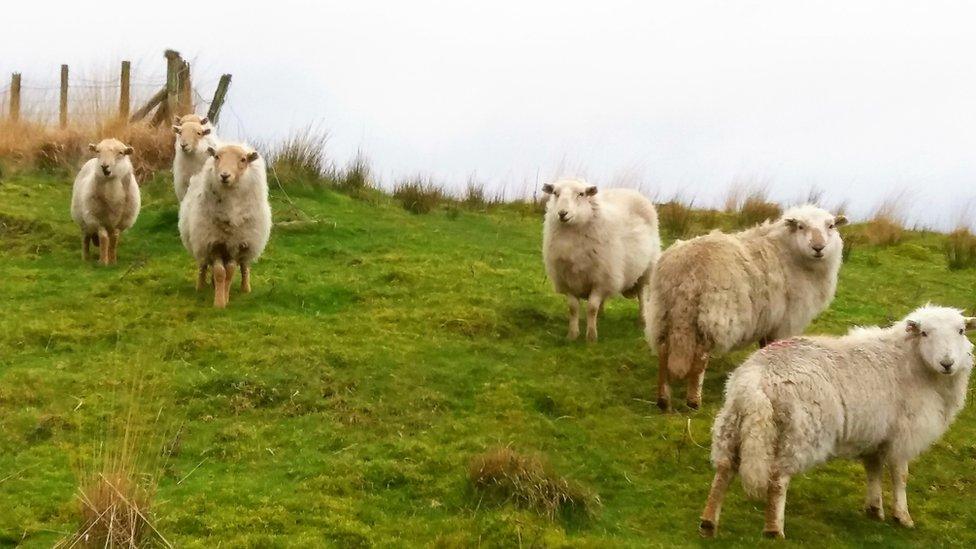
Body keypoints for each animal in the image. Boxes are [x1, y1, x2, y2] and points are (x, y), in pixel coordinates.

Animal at [178, 142, 270, 308]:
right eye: (217, 156)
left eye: (243, 159)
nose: (224, 175)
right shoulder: (213, 243)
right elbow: (220, 272)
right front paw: (219, 302)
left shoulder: (237, 245)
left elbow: (230, 272)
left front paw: (225, 297)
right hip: (200, 241)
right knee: (202, 265)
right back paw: (201, 286)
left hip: (248, 244)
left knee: (245, 267)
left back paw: (245, 288)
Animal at [540, 180, 664, 340]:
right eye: (555, 193)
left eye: (581, 194)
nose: (562, 213)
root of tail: (628, 191)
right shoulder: (568, 281)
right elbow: (573, 308)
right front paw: (572, 335)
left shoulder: (601, 280)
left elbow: (592, 308)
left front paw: (591, 336)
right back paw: (601, 315)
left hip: (646, 270)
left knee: (642, 295)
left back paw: (642, 320)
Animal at [644, 203, 844, 408]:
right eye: (801, 226)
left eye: (831, 226)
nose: (818, 248)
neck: (790, 253)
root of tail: (686, 272)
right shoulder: (787, 319)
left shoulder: (769, 319)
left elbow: (765, 346)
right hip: (715, 312)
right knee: (701, 355)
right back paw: (694, 401)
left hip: (662, 310)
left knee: (663, 349)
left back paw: (663, 400)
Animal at [700, 306, 976, 536]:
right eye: (925, 333)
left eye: (961, 331)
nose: (947, 363)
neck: (912, 362)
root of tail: (756, 381)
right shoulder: (903, 434)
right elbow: (901, 476)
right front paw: (902, 516)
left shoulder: (874, 434)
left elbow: (873, 470)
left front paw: (874, 509)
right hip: (800, 433)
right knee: (778, 479)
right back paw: (773, 530)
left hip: (733, 423)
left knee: (724, 469)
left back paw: (708, 522)